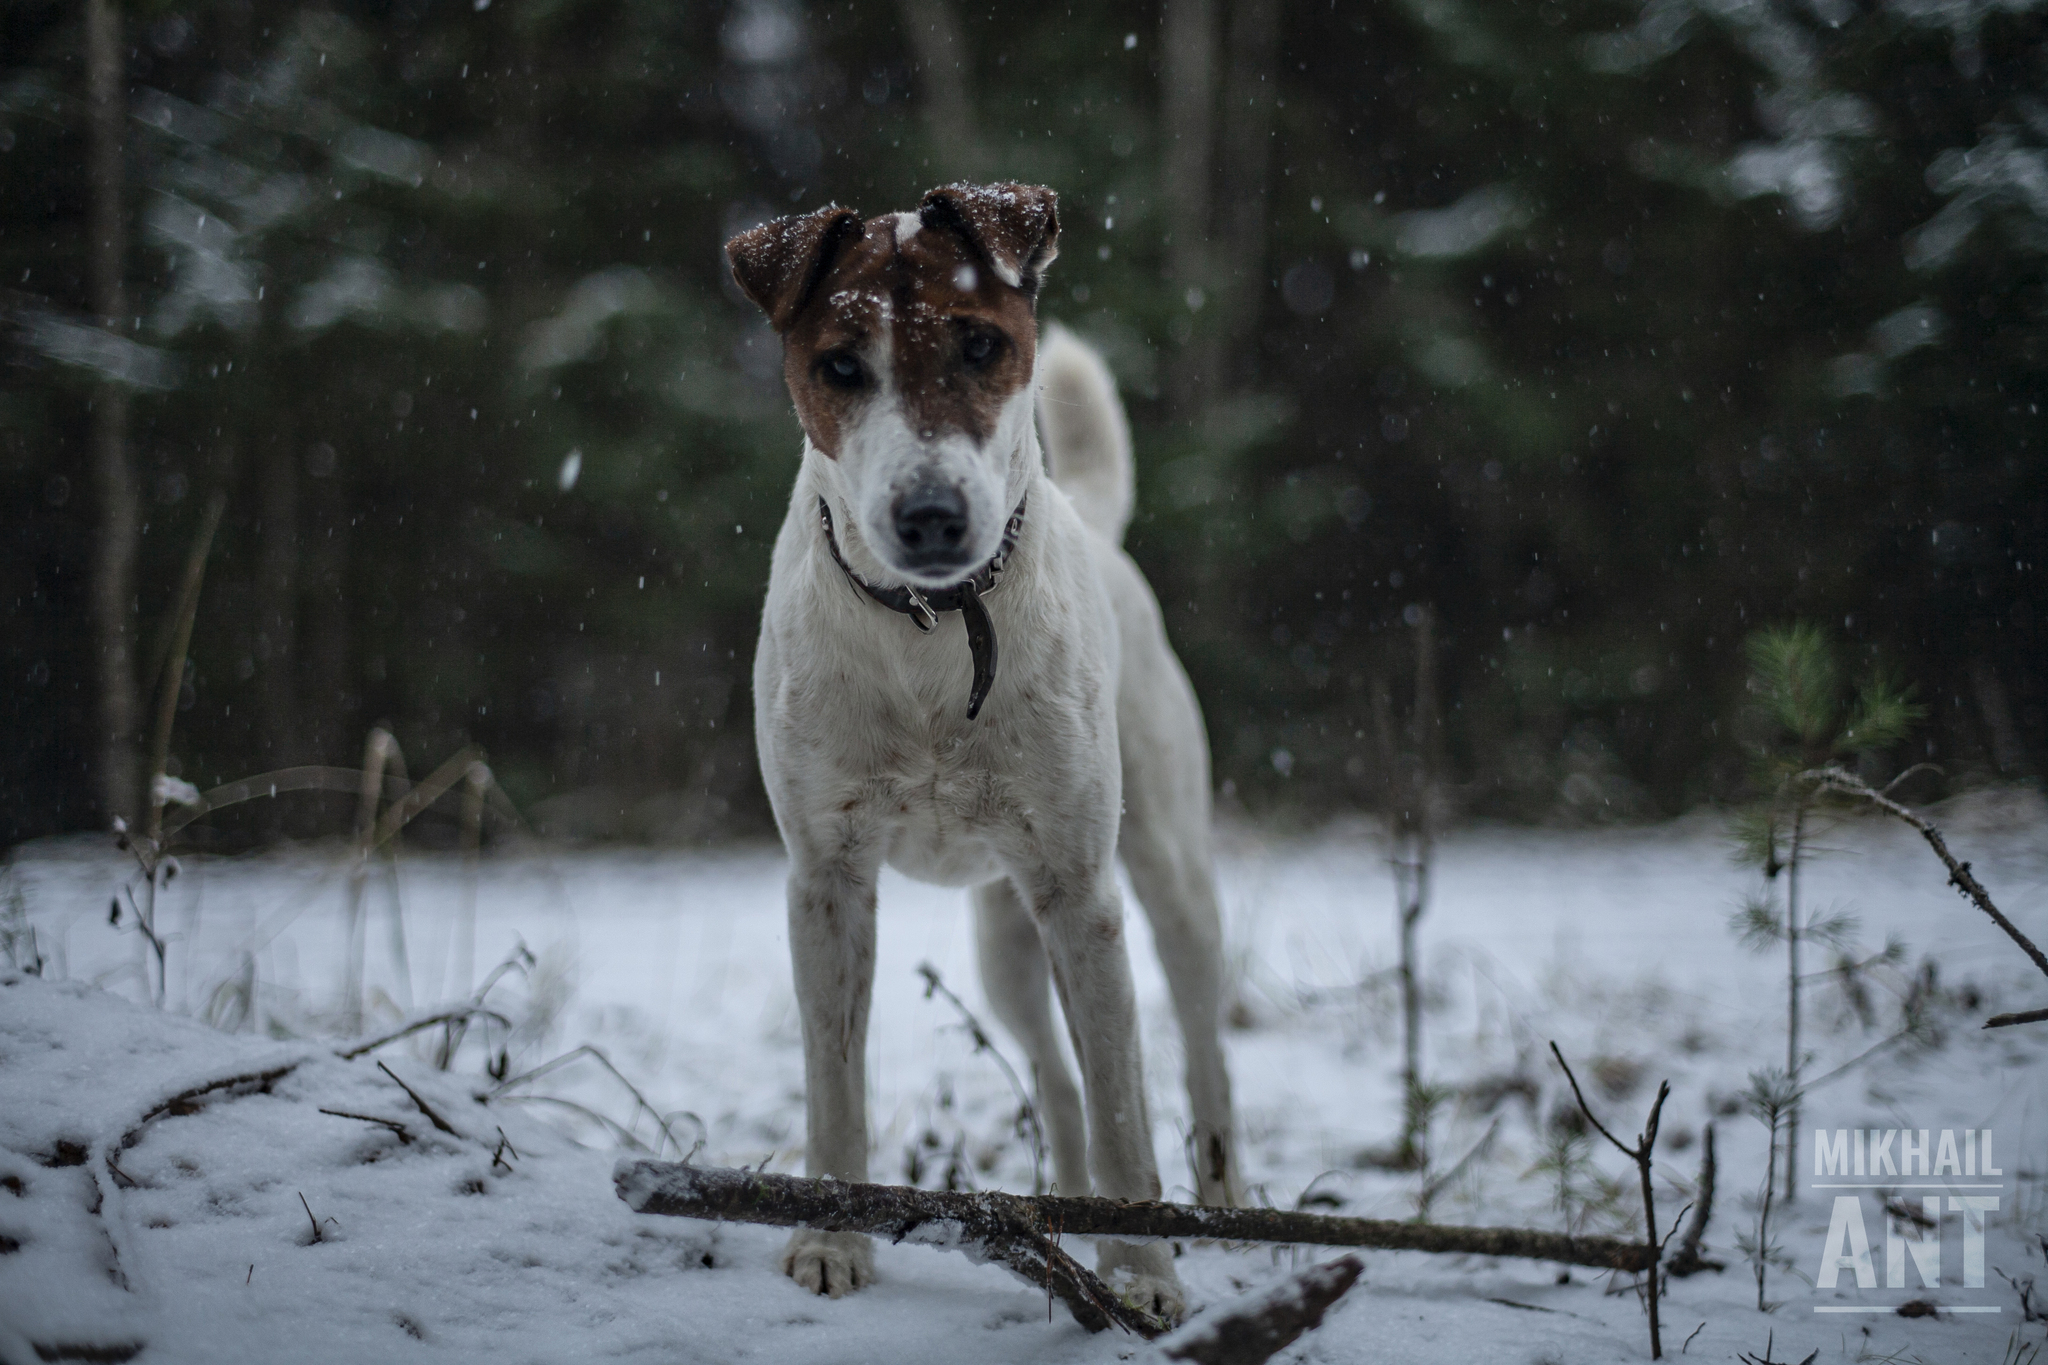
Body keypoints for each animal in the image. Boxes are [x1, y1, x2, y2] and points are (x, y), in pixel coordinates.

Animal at [724, 184, 1228, 1326]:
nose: (929, 515)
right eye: (840, 366)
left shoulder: (1084, 895)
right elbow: (835, 1078)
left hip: (1169, 875)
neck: (933, 633)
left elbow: (1128, 1107)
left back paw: (1223, 1210)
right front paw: (830, 1237)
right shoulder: (825, 879)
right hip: (1003, 936)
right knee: (1053, 1076)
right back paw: (1063, 1219)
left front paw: (1144, 1275)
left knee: (1200, 1051)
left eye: (981, 344)